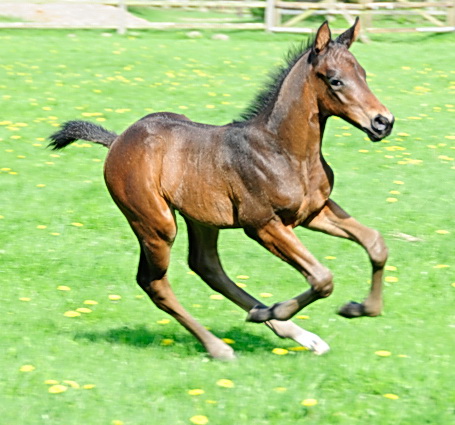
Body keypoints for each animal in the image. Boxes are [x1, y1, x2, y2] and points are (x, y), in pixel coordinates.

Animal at [49, 19, 392, 358]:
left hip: (201, 218)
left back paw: (292, 331)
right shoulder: (262, 224)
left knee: (206, 266)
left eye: (362, 74)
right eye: (335, 80)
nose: (383, 122)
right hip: (155, 223)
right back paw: (222, 345)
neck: (285, 150)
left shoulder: (313, 212)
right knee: (154, 282)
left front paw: (359, 308)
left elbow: (375, 243)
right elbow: (322, 277)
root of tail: (118, 140)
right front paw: (274, 310)